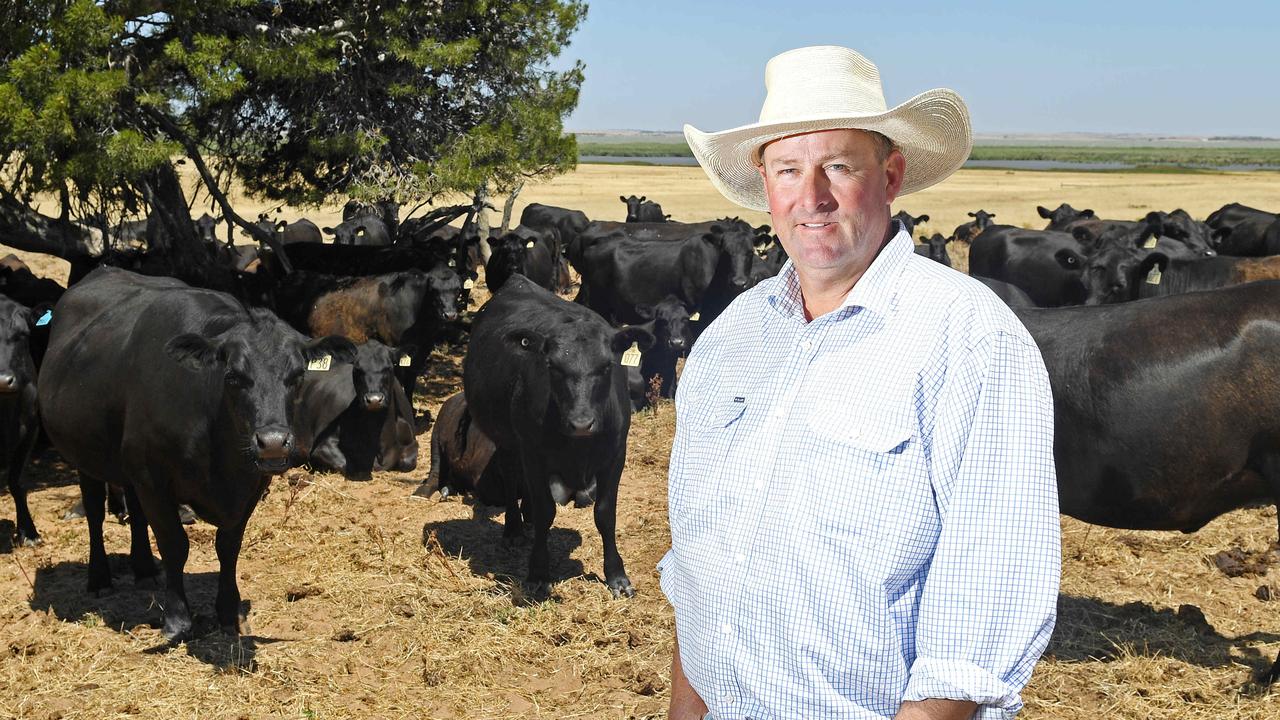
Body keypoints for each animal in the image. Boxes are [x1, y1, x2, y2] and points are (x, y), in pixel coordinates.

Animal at [38, 266, 355, 635]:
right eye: (233, 376)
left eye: (298, 376)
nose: (273, 441)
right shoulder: (153, 478)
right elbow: (174, 543)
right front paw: (177, 618)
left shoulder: (249, 485)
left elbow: (228, 546)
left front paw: (229, 611)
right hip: (85, 456)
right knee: (94, 512)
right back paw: (99, 578)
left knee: (136, 512)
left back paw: (144, 570)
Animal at [465, 274, 655, 594]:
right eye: (552, 366)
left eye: (606, 366)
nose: (581, 423)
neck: (578, 449)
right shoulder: (533, 454)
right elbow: (546, 512)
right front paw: (538, 572)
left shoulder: (615, 455)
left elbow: (605, 514)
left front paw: (616, 576)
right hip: (506, 441)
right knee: (511, 477)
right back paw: (514, 528)